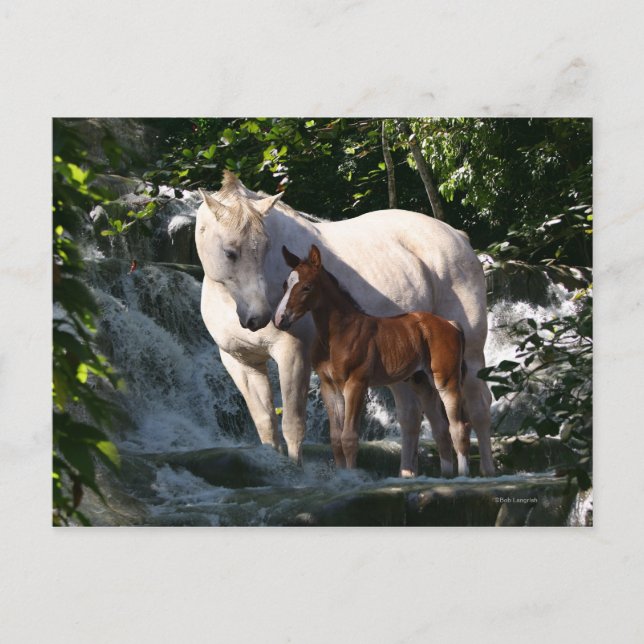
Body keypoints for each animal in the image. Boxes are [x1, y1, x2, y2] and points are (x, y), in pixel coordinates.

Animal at [274, 244, 472, 476]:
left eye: (307, 287)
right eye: (285, 284)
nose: (280, 319)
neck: (338, 334)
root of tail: (451, 324)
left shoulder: (356, 384)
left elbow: (349, 437)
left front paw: (352, 476)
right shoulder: (329, 386)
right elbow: (336, 439)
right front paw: (342, 476)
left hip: (447, 381)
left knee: (458, 427)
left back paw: (463, 475)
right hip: (422, 382)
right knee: (441, 429)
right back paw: (445, 476)